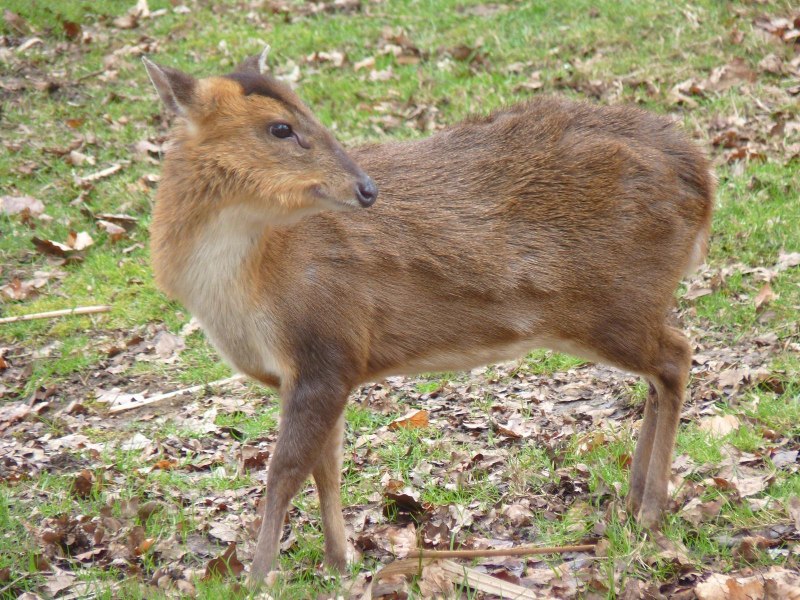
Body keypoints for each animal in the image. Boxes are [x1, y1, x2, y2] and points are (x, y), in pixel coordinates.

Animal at [142, 49, 712, 584]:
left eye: (305, 112)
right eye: (281, 126)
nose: (366, 189)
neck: (254, 284)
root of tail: (701, 179)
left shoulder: (328, 345)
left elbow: (285, 470)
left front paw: (260, 575)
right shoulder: (316, 368)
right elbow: (327, 467)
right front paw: (338, 562)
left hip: (614, 302)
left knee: (678, 355)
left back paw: (652, 510)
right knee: (661, 371)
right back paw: (632, 501)